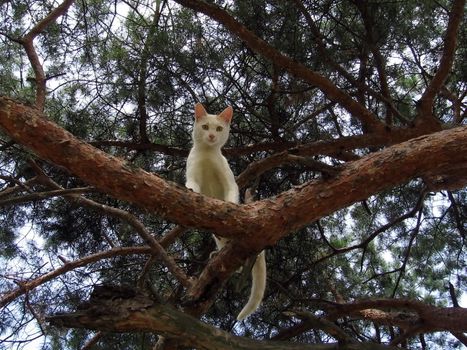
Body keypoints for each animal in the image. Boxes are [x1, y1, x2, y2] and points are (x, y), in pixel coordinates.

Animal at [186, 102, 266, 320]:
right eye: (205, 127)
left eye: (219, 129)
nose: (212, 136)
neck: (207, 154)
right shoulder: (192, 174)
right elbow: (192, 185)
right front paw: (190, 193)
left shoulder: (229, 179)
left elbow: (231, 192)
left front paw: (230, 208)